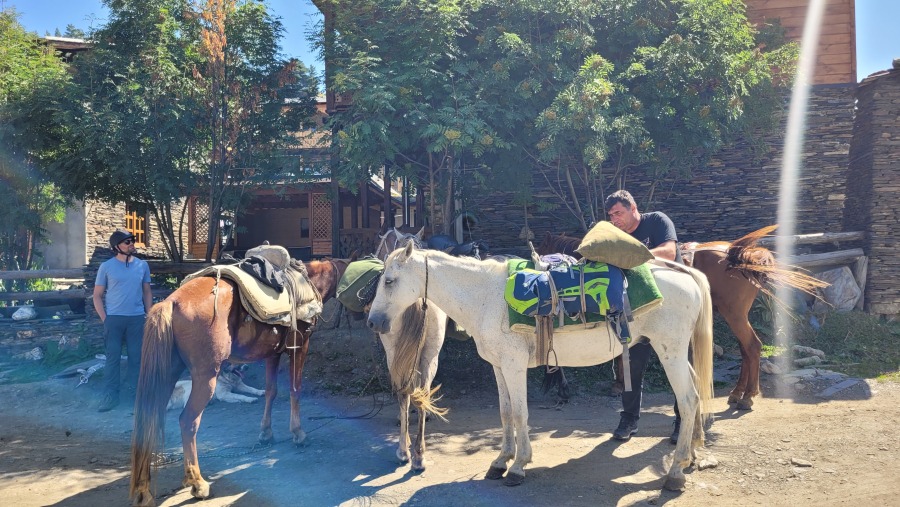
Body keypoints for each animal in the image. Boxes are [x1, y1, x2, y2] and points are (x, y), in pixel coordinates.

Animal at [130, 258, 348, 507]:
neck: (307, 283)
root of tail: (170, 302)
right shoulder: (299, 348)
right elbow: (295, 390)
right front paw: (298, 434)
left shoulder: (273, 355)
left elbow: (270, 391)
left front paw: (266, 433)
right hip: (205, 378)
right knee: (188, 422)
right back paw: (198, 484)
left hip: (167, 374)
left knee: (149, 419)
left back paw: (144, 491)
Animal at [370, 242, 712, 492]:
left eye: (389, 281)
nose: (373, 322)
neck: (485, 297)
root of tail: (685, 272)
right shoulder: (499, 366)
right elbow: (505, 412)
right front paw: (500, 461)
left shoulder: (514, 365)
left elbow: (521, 414)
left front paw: (518, 466)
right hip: (678, 355)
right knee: (695, 396)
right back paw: (691, 456)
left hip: (670, 353)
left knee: (688, 400)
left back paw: (675, 473)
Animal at [536, 228, 828, 410]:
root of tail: (740, 254)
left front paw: (615, 384)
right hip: (735, 315)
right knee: (746, 350)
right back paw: (737, 394)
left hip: (734, 314)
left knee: (753, 347)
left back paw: (748, 397)